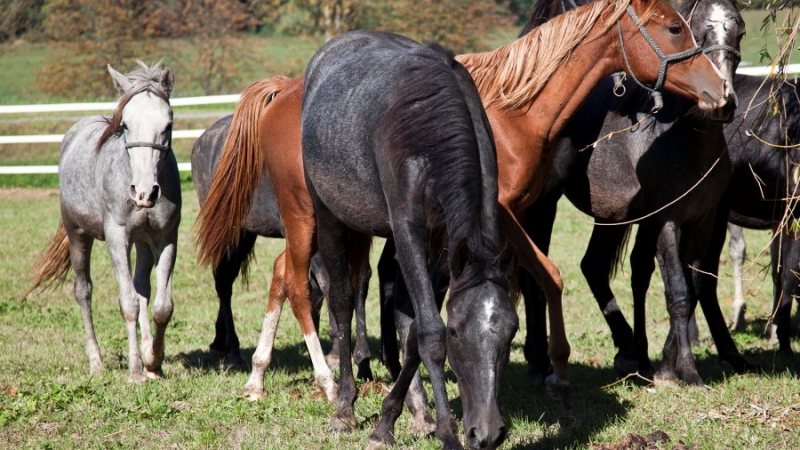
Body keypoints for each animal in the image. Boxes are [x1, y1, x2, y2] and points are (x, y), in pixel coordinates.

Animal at [28, 60, 180, 384]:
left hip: (143, 242)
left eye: (168, 125)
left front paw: (153, 362)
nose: (144, 193)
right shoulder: (117, 238)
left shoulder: (165, 238)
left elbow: (161, 306)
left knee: (142, 287)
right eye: (125, 126)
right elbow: (128, 304)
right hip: (78, 236)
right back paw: (96, 362)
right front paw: (136, 371)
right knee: (83, 292)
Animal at [302, 30, 520, 450]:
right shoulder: (408, 230)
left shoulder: (441, 246)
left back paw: (418, 414)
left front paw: (389, 422)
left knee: (401, 311)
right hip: (330, 217)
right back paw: (344, 407)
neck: (429, 134)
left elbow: (417, 329)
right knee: (341, 302)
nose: (486, 433)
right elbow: (429, 331)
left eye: (512, 330)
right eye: (456, 332)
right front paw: (448, 434)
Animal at [520, 0, 748, 386]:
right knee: (533, 276)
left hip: (610, 217)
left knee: (593, 266)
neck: (686, 143)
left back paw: (629, 352)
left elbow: (689, 283)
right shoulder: (667, 220)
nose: (722, 103)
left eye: (740, 32)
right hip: (542, 208)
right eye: (694, 30)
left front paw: (667, 362)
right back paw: (538, 361)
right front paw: (685, 371)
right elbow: (678, 292)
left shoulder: (700, 220)